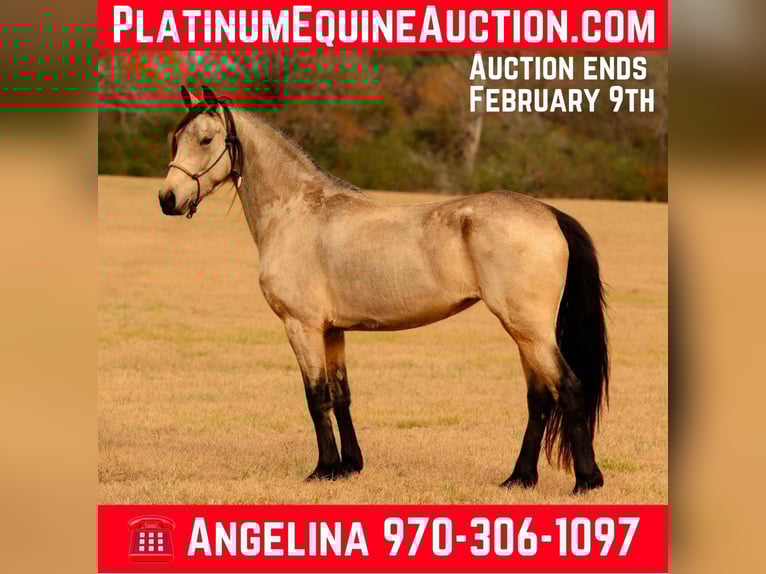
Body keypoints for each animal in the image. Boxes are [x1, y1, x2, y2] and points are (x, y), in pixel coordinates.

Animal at [157, 86, 609, 494]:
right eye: (177, 139)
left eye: (206, 139)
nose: (167, 198)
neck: (298, 212)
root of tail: (549, 213)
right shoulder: (332, 331)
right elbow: (341, 395)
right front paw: (348, 466)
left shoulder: (301, 326)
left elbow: (316, 397)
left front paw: (323, 469)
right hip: (525, 333)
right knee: (539, 397)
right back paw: (520, 478)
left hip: (528, 329)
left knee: (569, 389)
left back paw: (586, 481)